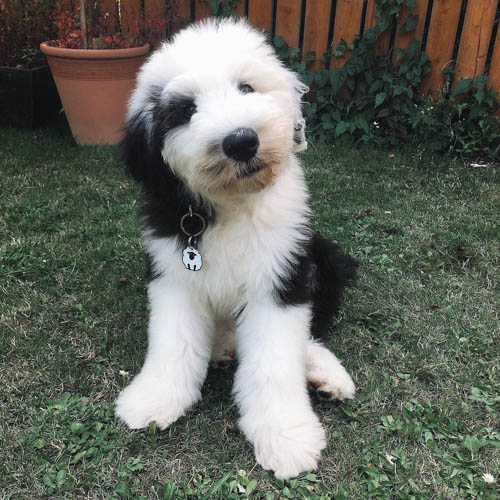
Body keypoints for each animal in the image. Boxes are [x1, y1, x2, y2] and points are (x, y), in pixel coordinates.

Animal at [116, 19, 360, 478]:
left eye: (247, 88)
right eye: (186, 110)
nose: (242, 141)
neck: (232, 203)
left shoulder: (280, 275)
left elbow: (275, 362)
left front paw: (286, 436)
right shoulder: (172, 274)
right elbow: (172, 343)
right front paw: (154, 398)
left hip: (324, 258)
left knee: (311, 331)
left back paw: (324, 373)